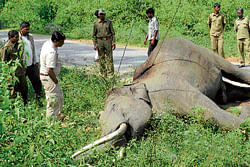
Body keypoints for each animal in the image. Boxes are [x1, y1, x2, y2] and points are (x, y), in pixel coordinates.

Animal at [71, 37, 250, 159]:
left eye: (114, 106)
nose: (72, 157)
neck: (138, 83)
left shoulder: (175, 90)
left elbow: (209, 115)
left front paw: (246, 114)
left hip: (208, 54)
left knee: (234, 71)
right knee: (227, 92)